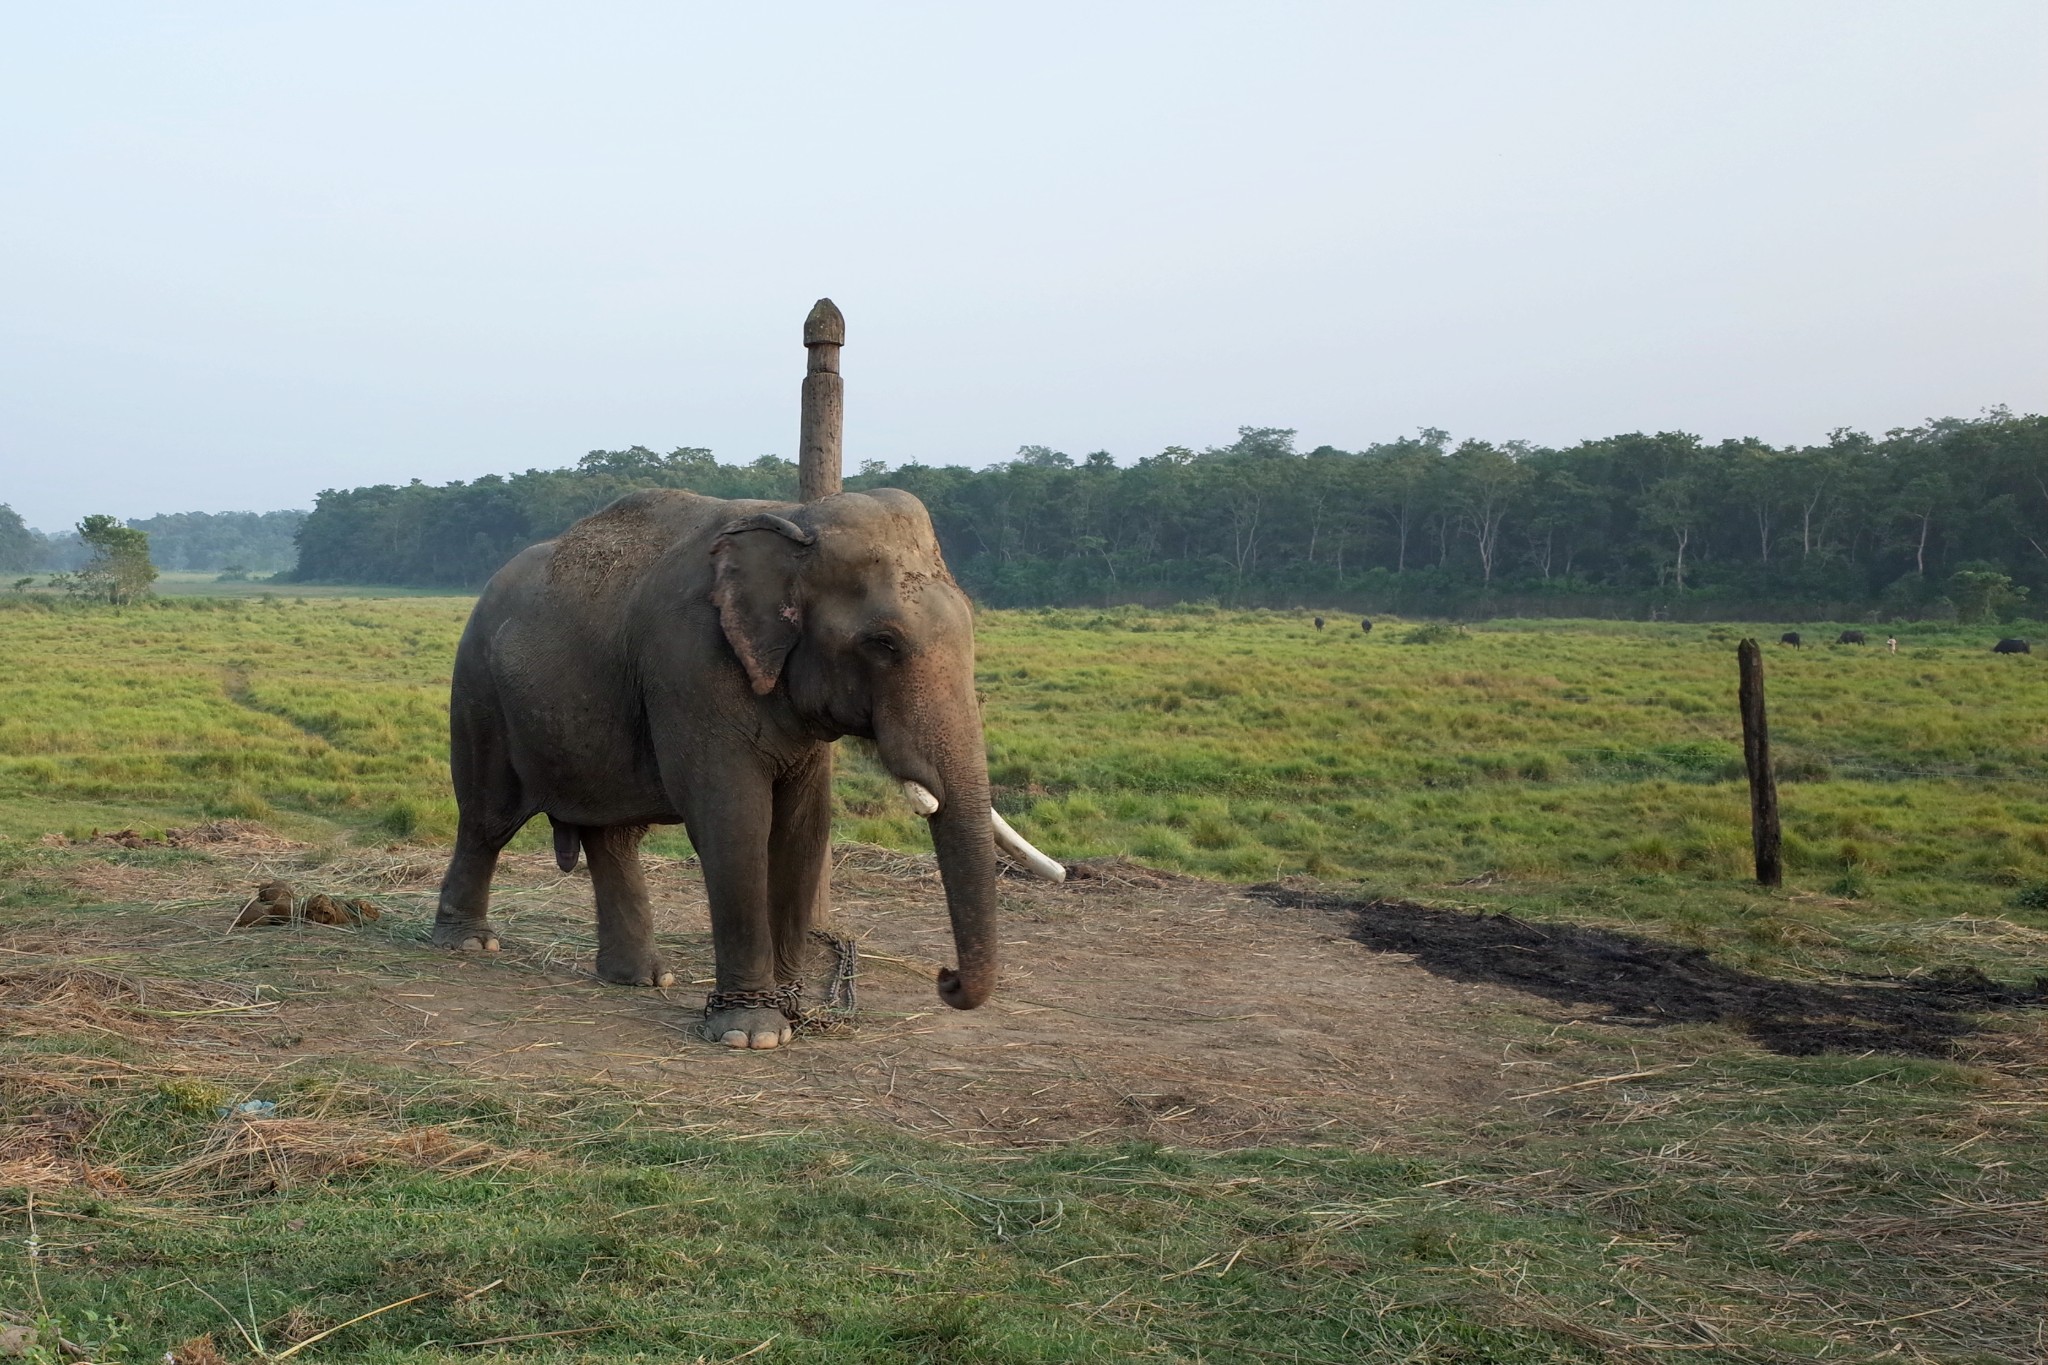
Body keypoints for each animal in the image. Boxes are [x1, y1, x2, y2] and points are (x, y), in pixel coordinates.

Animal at [430, 485, 1056, 1055]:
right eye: (882, 643)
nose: (946, 978)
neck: (796, 519)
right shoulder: (691, 666)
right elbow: (734, 821)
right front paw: (752, 1034)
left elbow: (802, 829)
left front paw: (791, 1008)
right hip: (478, 690)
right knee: (487, 819)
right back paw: (468, 946)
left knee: (613, 839)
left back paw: (642, 979)